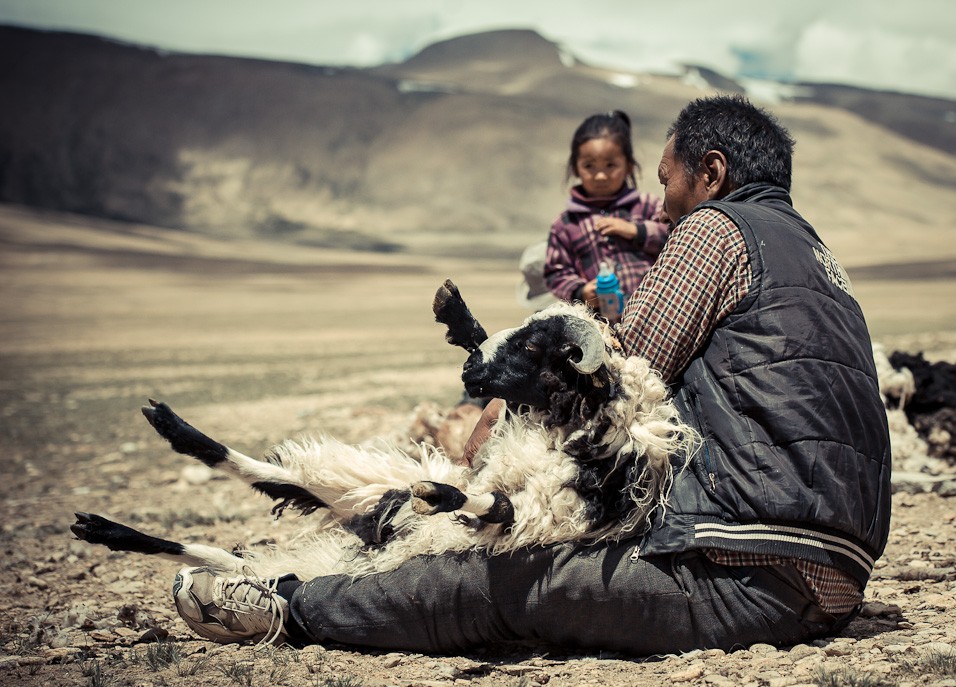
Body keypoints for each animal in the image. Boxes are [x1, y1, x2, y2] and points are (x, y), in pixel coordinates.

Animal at [73, 280, 696, 580]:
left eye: (534, 347)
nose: (469, 372)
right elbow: (479, 493)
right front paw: (457, 314)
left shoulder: (537, 515)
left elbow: (487, 504)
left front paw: (433, 496)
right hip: (363, 484)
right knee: (271, 478)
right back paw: (165, 437)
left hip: (356, 506)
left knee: (238, 551)